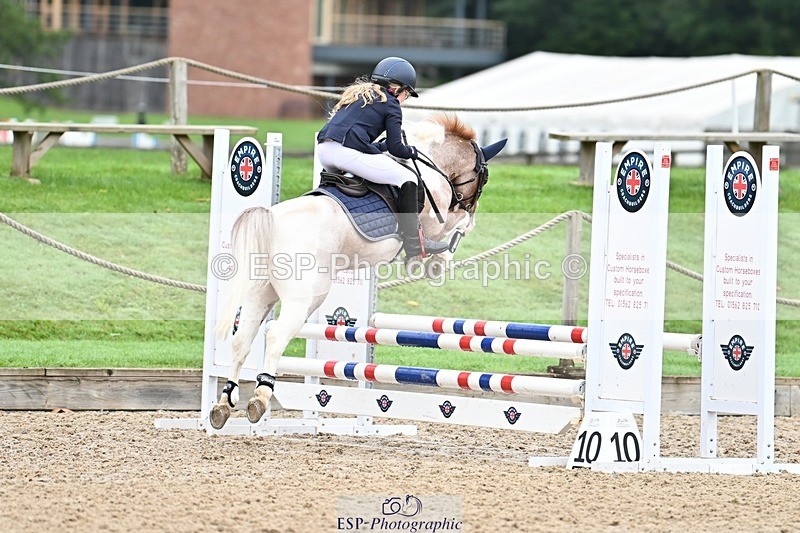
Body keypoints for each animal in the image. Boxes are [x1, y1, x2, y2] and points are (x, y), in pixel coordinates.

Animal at [209, 113, 506, 430]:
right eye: (484, 178)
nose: (472, 203)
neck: (430, 165)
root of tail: (270, 219)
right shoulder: (434, 222)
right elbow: (459, 225)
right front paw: (435, 261)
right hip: (306, 297)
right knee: (275, 336)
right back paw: (260, 398)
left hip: (260, 294)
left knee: (242, 339)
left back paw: (223, 405)